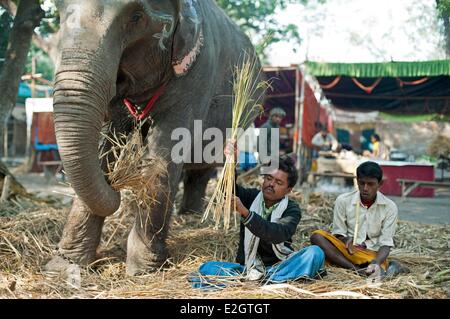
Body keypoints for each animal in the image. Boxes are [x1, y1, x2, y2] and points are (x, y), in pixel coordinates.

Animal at [46, 0, 264, 278]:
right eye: (60, 12)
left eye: (136, 17)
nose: (115, 188)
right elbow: (104, 146)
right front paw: (65, 265)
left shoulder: (197, 73)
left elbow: (164, 154)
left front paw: (143, 269)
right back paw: (186, 216)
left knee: (205, 163)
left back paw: (193, 217)